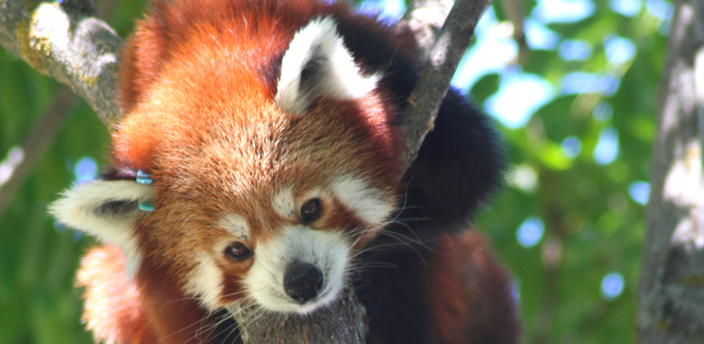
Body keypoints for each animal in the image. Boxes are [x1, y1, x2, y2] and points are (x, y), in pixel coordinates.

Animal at [49, 0, 520, 342]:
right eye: (237, 250)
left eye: (311, 209)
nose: (303, 281)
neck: (204, 46)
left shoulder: (380, 54)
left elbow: (466, 167)